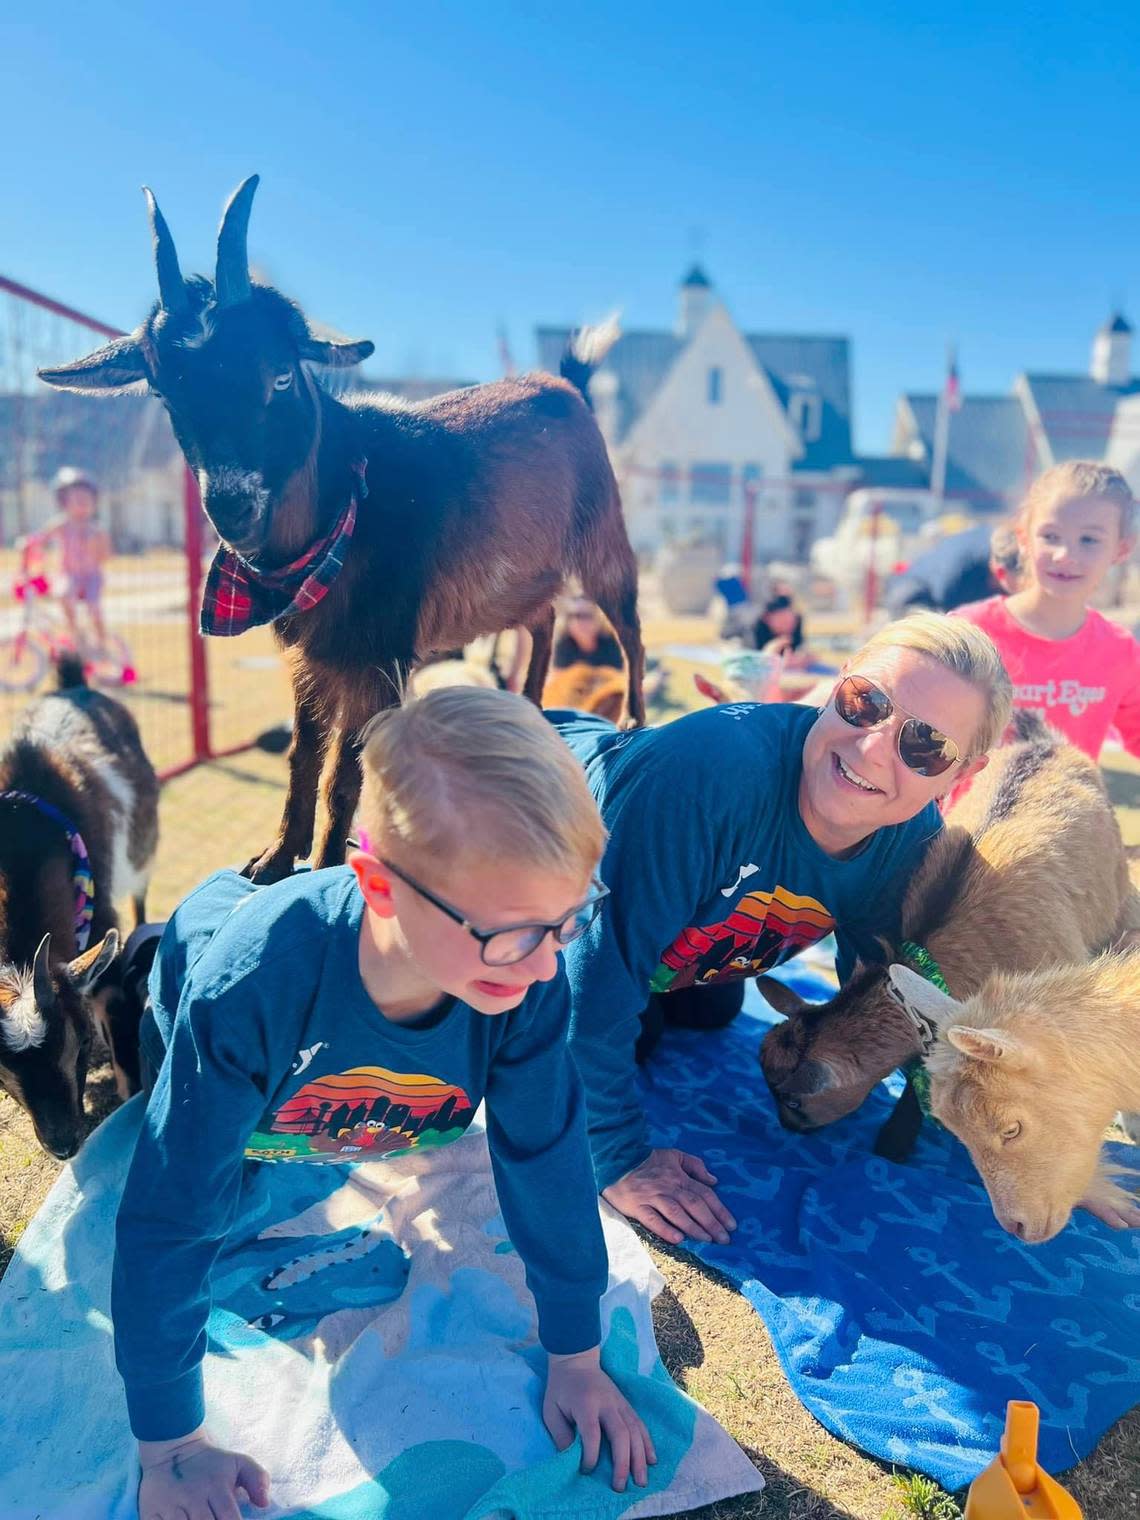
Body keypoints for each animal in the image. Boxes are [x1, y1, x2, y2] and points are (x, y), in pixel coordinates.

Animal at [40, 177, 647, 887]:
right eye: (165, 392)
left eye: (280, 374)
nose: (232, 507)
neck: (337, 526)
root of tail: (568, 385)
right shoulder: (315, 654)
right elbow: (304, 756)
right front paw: (274, 860)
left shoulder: (379, 657)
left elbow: (346, 771)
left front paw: (327, 865)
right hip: (518, 578)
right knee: (545, 618)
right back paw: (529, 707)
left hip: (603, 536)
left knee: (627, 626)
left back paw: (632, 717)